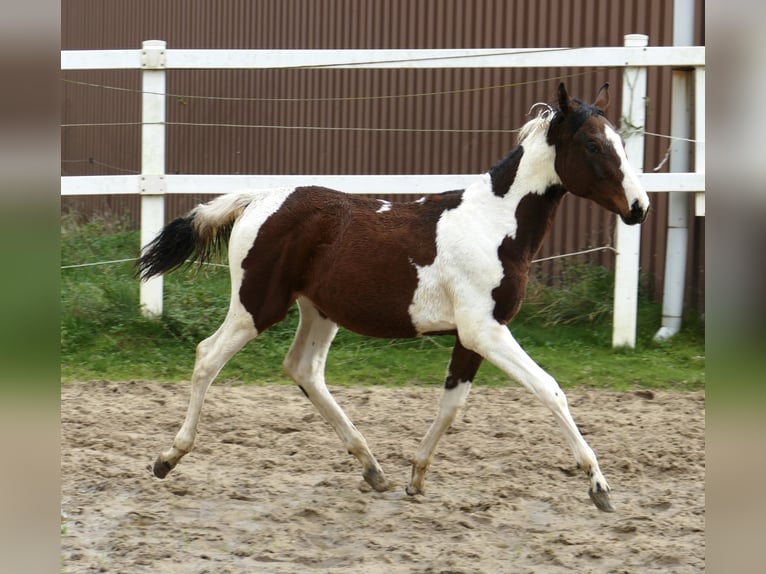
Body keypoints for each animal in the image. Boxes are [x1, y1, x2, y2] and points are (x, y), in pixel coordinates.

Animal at [141, 82, 652, 512]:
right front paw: (599, 486)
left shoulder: (470, 337)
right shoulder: (485, 331)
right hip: (257, 306)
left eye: (620, 144)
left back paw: (372, 467)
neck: (494, 226)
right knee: (208, 357)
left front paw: (416, 477)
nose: (639, 208)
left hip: (319, 311)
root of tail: (258, 200)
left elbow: (452, 404)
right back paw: (168, 457)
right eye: (593, 145)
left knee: (303, 369)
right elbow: (550, 389)